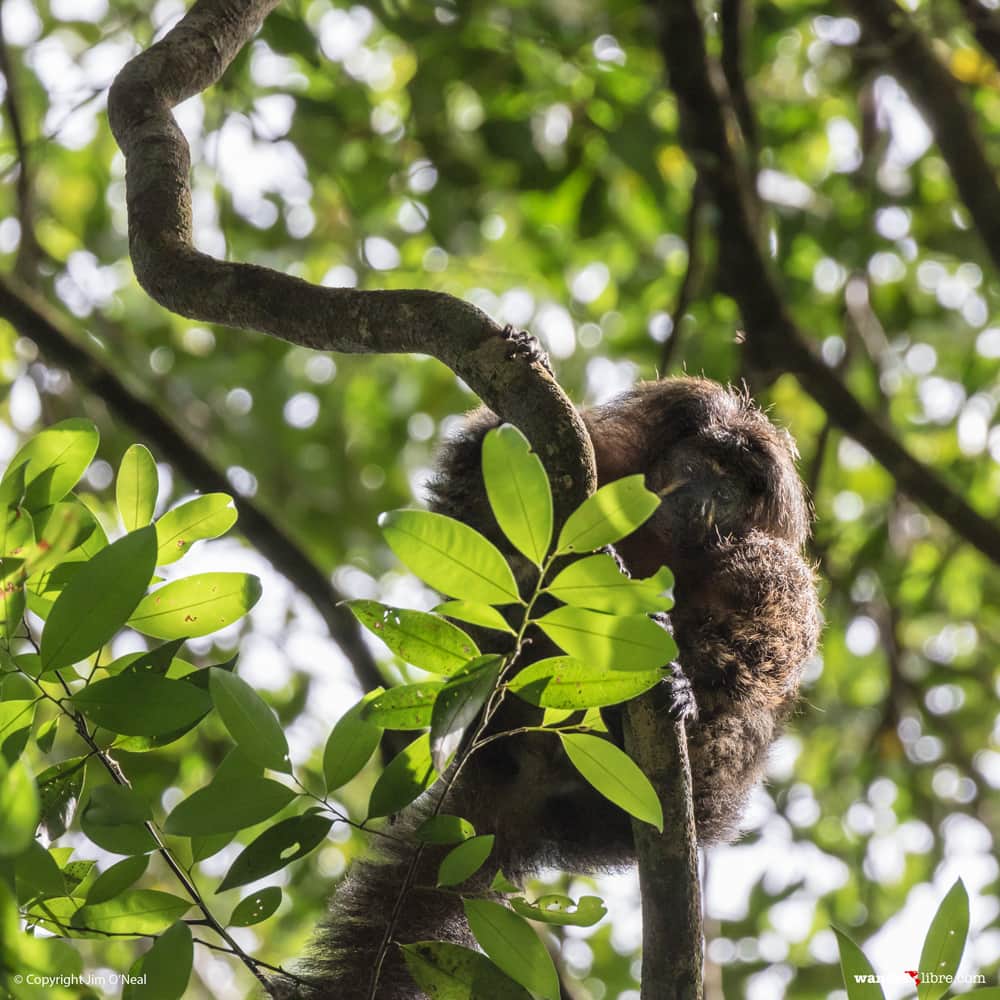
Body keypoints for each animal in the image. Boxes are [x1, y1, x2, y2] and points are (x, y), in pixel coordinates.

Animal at [296, 376, 820, 1000]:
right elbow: (477, 465)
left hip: (706, 795)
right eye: (695, 466)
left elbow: (778, 613)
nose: (702, 500)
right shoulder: (606, 452)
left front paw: (693, 680)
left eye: (729, 489)